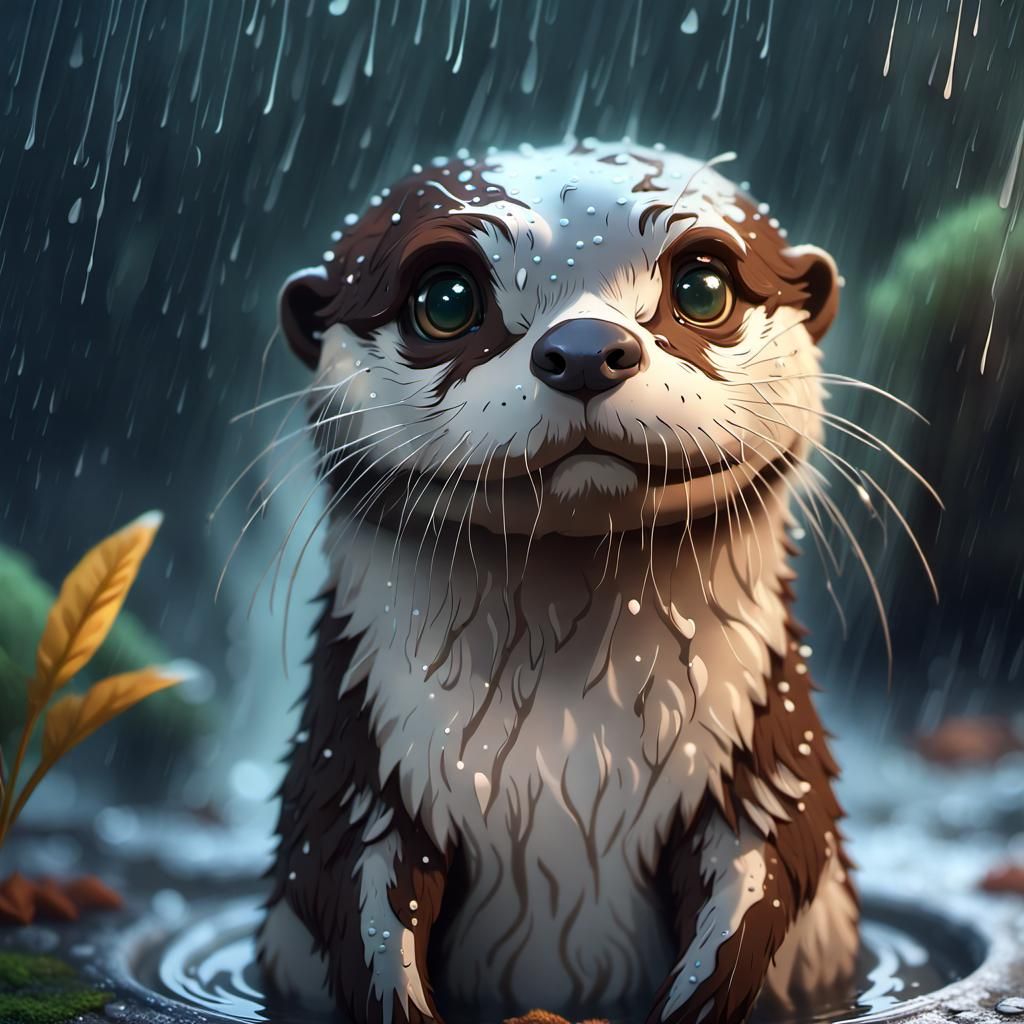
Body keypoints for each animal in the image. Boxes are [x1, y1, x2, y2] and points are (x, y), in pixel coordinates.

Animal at [256, 140, 858, 1024]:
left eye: (703, 287)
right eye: (445, 300)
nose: (581, 350)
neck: (569, 748)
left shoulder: (764, 744)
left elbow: (765, 862)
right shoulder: (355, 754)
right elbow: (347, 877)